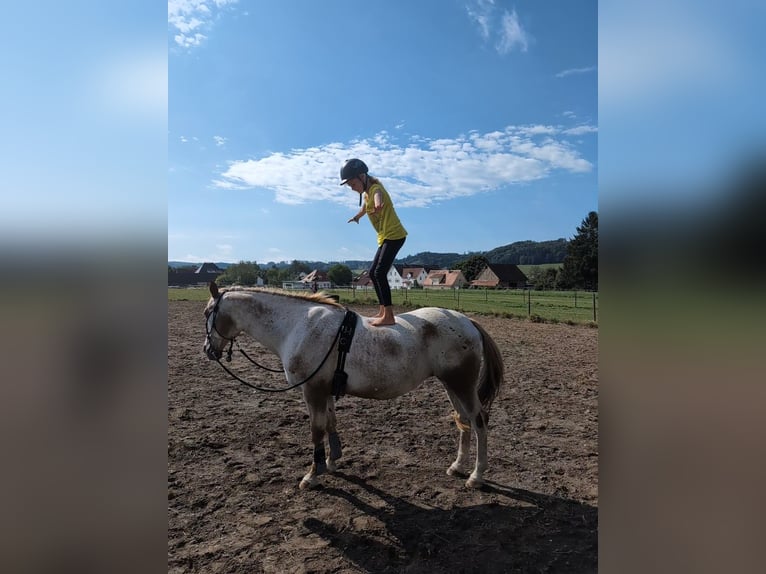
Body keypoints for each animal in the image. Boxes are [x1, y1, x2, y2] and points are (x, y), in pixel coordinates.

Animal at [203, 281, 505, 489]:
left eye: (208, 313)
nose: (208, 350)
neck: (297, 326)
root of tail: (466, 321)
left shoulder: (312, 390)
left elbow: (316, 430)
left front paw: (313, 475)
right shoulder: (325, 391)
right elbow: (331, 424)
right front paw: (332, 461)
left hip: (461, 383)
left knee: (479, 420)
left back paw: (476, 476)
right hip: (450, 384)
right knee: (463, 420)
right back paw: (458, 466)